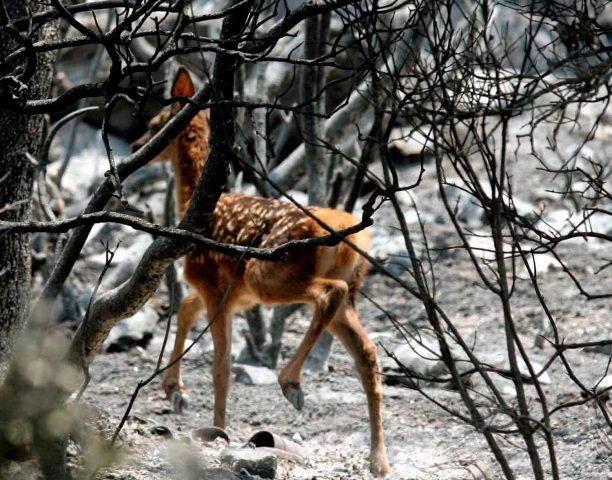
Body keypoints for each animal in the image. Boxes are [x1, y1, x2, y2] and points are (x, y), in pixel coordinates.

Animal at [132, 67, 390, 476]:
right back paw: (378, 460)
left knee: (327, 292)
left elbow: (221, 366)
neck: (193, 205)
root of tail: (352, 235)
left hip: (269, 272)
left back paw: (290, 382)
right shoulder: (232, 293)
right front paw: (175, 390)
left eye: (157, 124)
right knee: (366, 352)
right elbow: (186, 309)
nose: (137, 145)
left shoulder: (215, 285)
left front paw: (217, 427)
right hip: (345, 292)